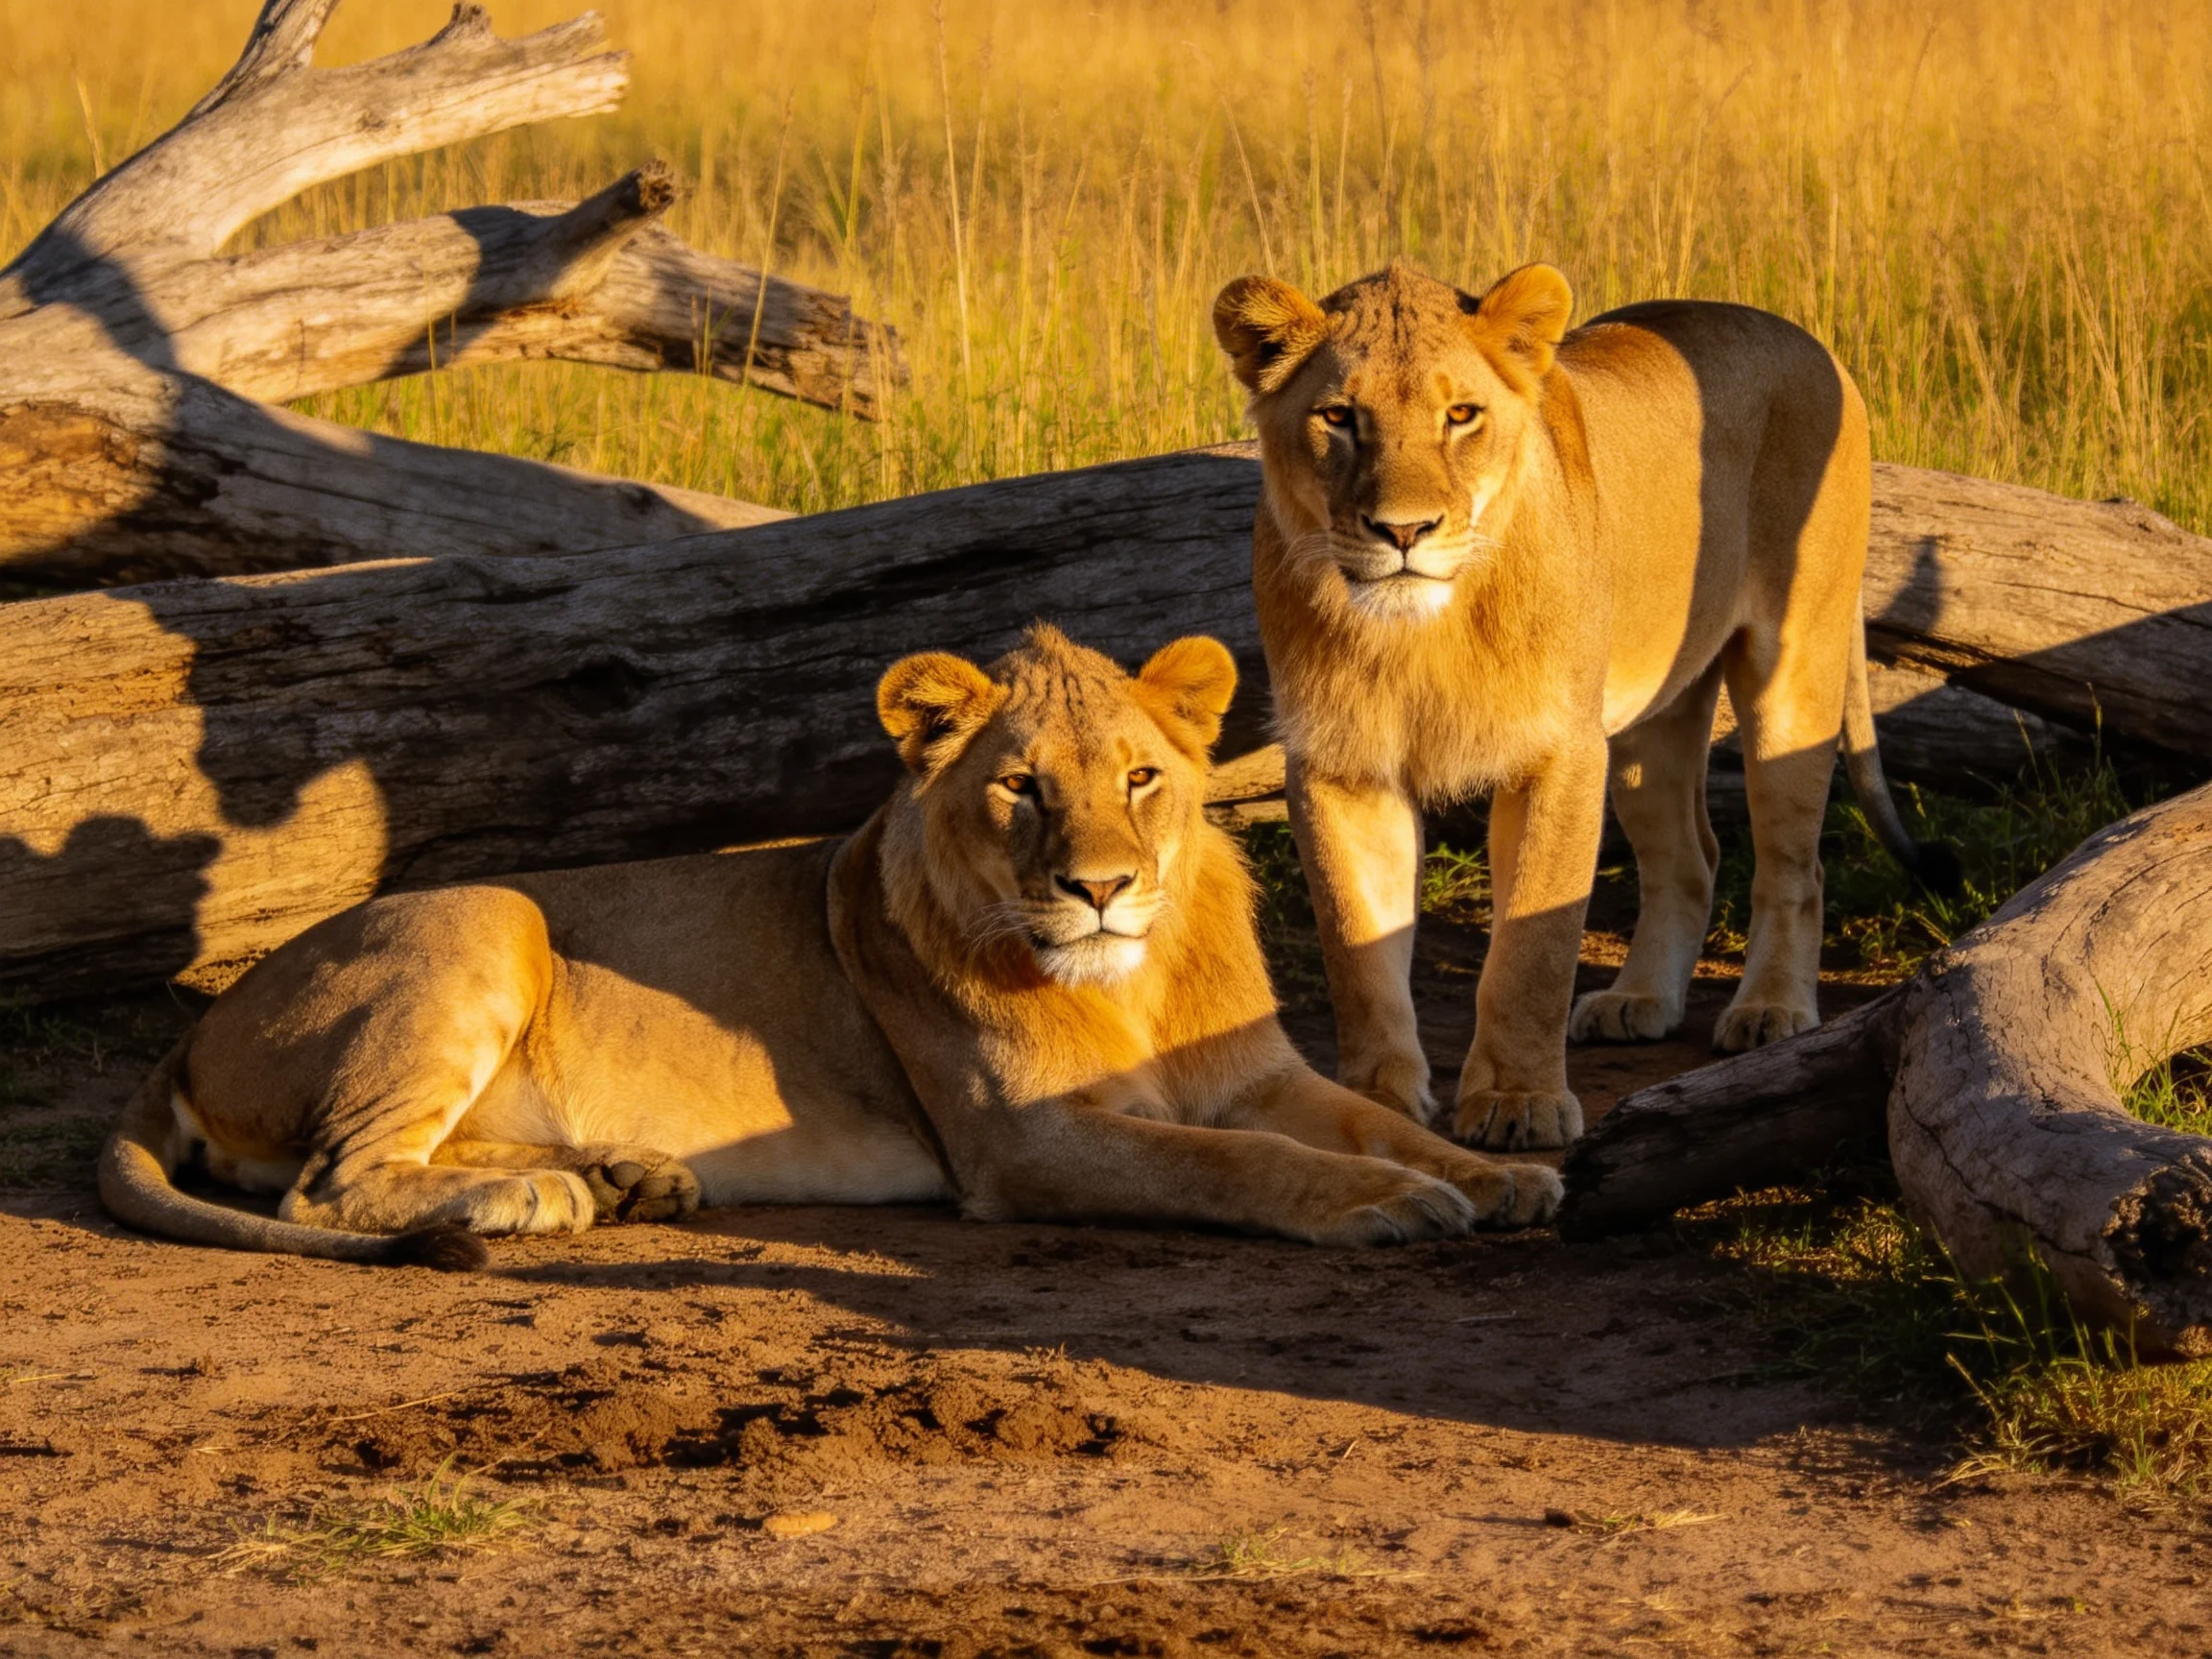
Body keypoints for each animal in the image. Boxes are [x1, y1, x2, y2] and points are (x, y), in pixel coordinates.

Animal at [98, 624, 1561, 1266]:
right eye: (1021, 788)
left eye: (1143, 779)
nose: (1097, 889)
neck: (1134, 982)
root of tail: (191, 1027)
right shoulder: (1027, 1143)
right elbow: (1236, 1165)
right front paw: (1384, 1206)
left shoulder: (1258, 1075)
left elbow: (1368, 1122)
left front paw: (1497, 1176)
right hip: (492, 914)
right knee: (328, 1186)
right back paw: (534, 1202)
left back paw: (621, 1178)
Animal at [1212, 261, 1951, 1151]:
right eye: (1337, 417)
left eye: (1461, 415)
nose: (1404, 531)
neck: (1423, 635)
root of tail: (1813, 346)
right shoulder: (1342, 766)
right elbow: (1359, 949)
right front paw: (1377, 1103)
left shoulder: (1560, 752)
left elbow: (1534, 941)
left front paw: (1518, 1102)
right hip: (1647, 721)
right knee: (1690, 858)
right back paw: (1640, 1000)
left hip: (1793, 668)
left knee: (1793, 865)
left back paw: (1771, 1010)